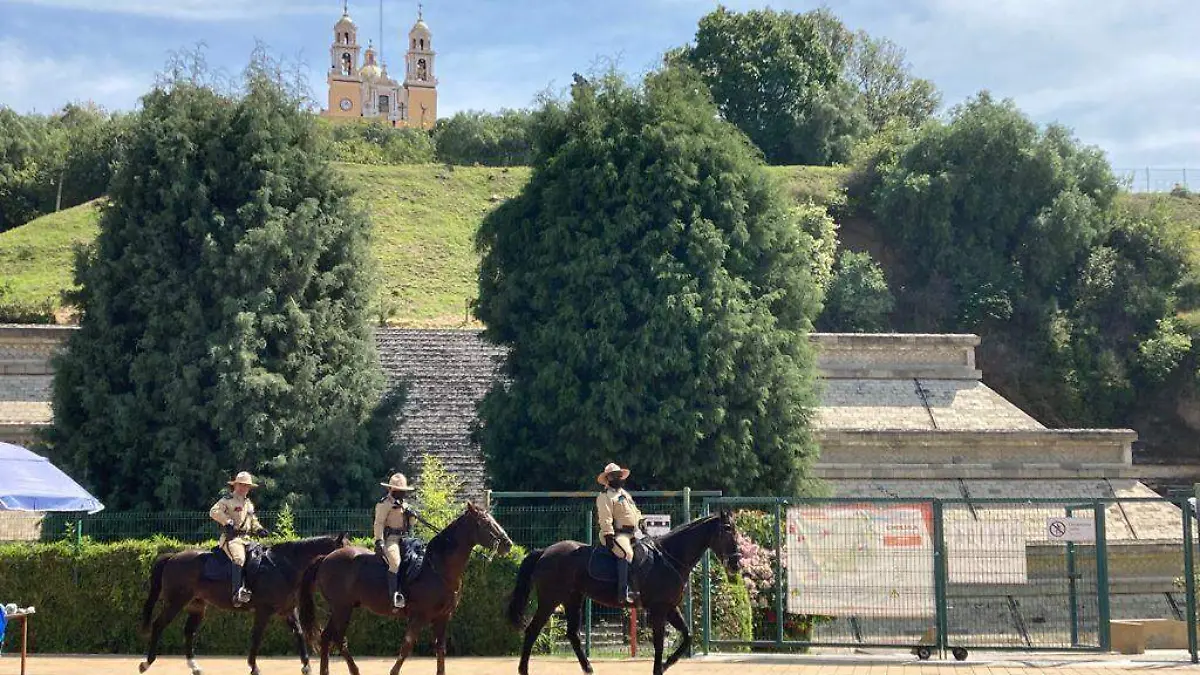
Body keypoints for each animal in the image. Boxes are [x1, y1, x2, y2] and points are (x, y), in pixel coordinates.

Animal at [139, 530, 350, 672]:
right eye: (344, 549)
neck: (283, 566)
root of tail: (173, 557)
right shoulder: (264, 610)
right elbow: (256, 636)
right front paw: (253, 666)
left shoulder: (288, 610)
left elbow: (298, 633)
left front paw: (306, 665)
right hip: (175, 602)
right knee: (158, 625)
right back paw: (146, 663)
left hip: (197, 606)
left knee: (189, 631)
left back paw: (195, 666)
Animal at [300, 499, 516, 672]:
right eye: (485, 522)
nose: (508, 544)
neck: (437, 567)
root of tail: (326, 558)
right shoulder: (419, 617)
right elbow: (406, 647)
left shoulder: (442, 617)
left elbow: (440, 650)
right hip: (342, 609)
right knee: (336, 638)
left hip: (343, 609)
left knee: (328, 637)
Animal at [506, 509, 739, 672]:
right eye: (727, 530)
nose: (735, 564)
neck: (669, 557)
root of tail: (545, 551)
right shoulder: (658, 609)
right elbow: (659, 643)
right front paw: (659, 668)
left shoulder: (670, 607)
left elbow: (687, 635)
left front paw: (667, 664)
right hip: (550, 600)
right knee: (532, 631)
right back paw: (523, 670)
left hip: (573, 599)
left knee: (572, 634)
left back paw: (588, 668)